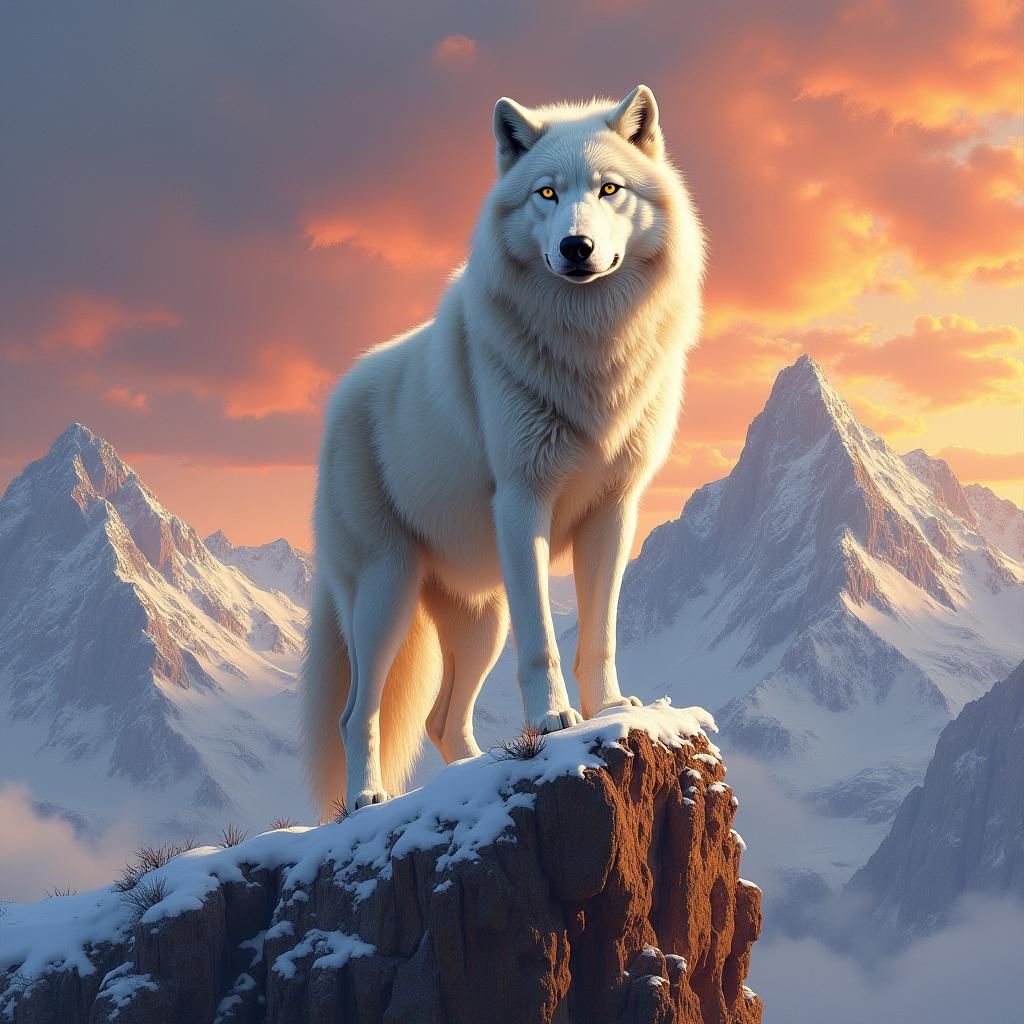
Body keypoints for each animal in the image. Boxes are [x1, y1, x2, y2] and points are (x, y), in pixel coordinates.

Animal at [303, 85, 705, 812]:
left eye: (609, 189)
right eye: (546, 194)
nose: (577, 246)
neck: (591, 352)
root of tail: (342, 393)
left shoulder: (616, 511)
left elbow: (599, 636)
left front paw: (609, 708)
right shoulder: (522, 503)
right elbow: (543, 641)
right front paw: (553, 719)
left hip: (477, 620)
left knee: (441, 719)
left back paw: (467, 776)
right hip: (384, 597)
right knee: (356, 713)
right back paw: (367, 798)